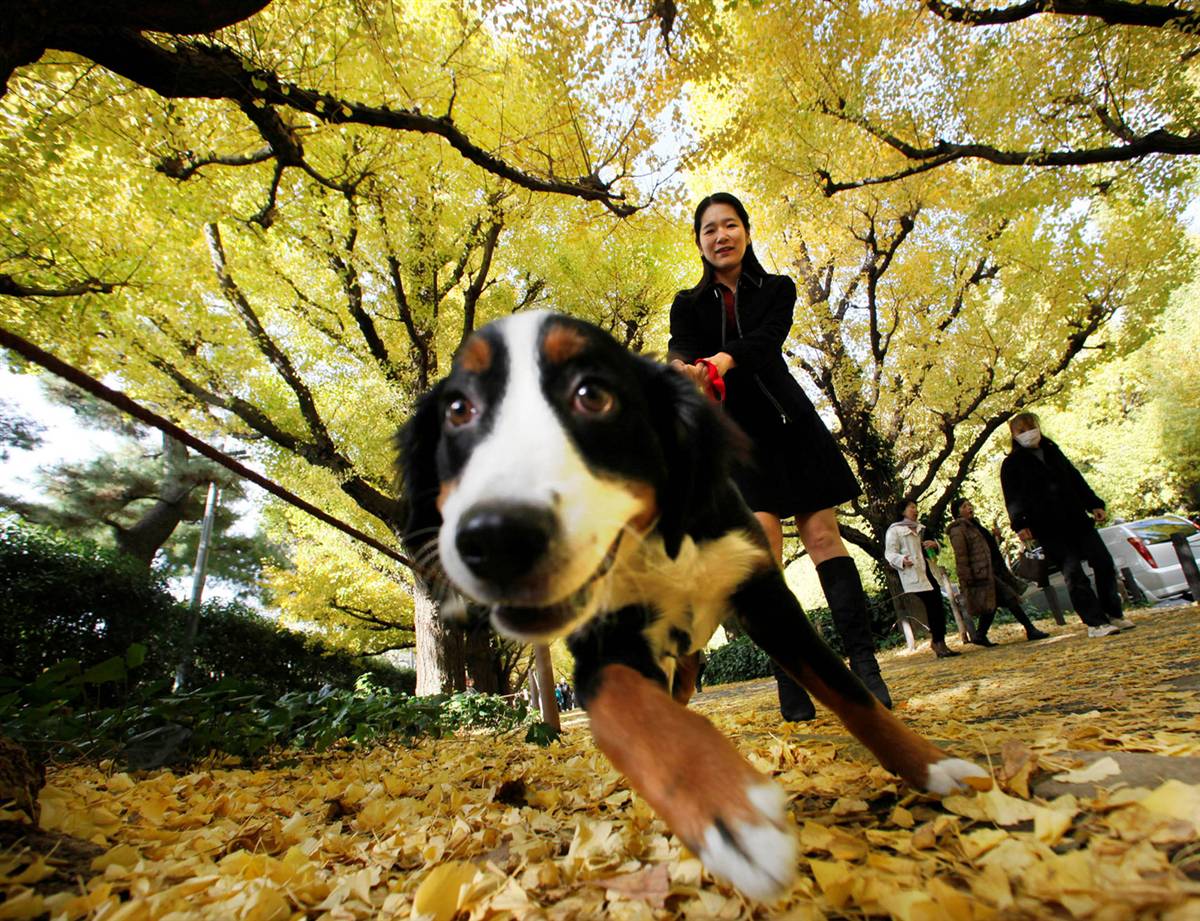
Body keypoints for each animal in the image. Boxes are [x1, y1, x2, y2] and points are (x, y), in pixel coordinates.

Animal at [398, 311, 988, 901]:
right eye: (458, 409)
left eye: (593, 395)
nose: (495, 537)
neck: (658, 543)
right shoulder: (602, 647)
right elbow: (638, 711)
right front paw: (728, 810)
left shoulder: (768, 598)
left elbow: (852, 694)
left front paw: (934, 767)